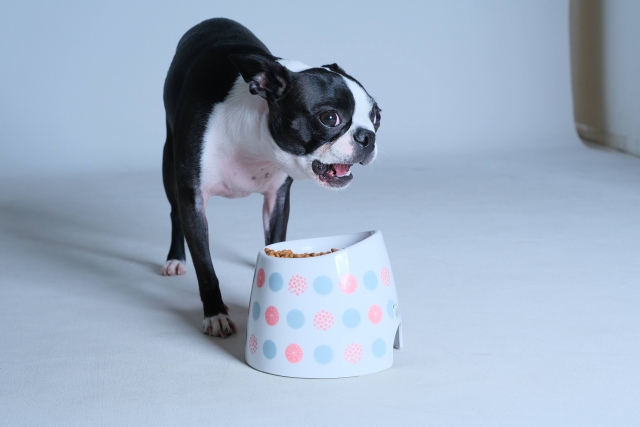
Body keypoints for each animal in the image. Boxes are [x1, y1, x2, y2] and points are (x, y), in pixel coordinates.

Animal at [161, 19, 380, 338]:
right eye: (330, 118)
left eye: (377, 118)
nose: (368, 136)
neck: (253, 142)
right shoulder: (194, 202)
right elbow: (205, 266)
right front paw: (215, 314)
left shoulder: (278, 200)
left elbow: (276, 241)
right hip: (169, 166)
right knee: (174, 212)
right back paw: (175, 258)